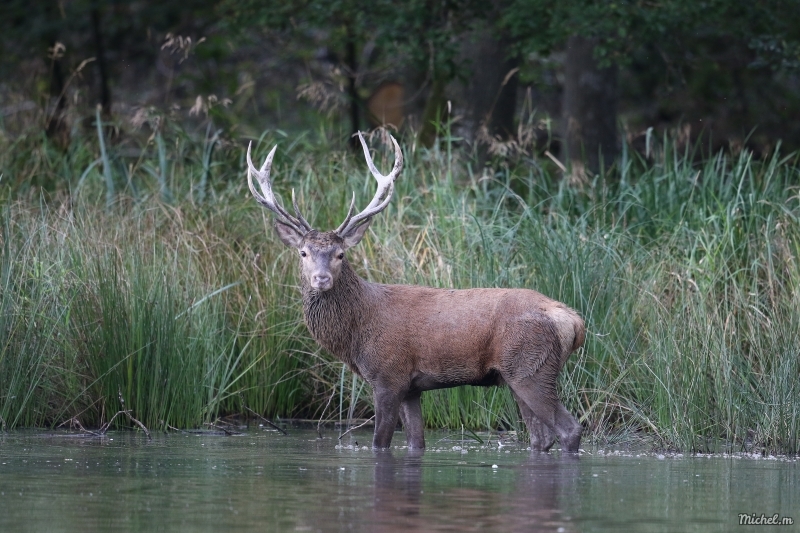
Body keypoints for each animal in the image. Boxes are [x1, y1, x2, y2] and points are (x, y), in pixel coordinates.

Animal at [247, 131, 584, 450]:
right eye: (303, 252)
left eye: (340, 254)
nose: (321, 278)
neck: (357, 329)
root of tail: (574, 321)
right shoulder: (412, 387)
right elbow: (415, 442)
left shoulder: (388, 375)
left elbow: (380, 442)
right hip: (516, 376)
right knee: (541, 437)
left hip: (530, 367)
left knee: (569, 429)